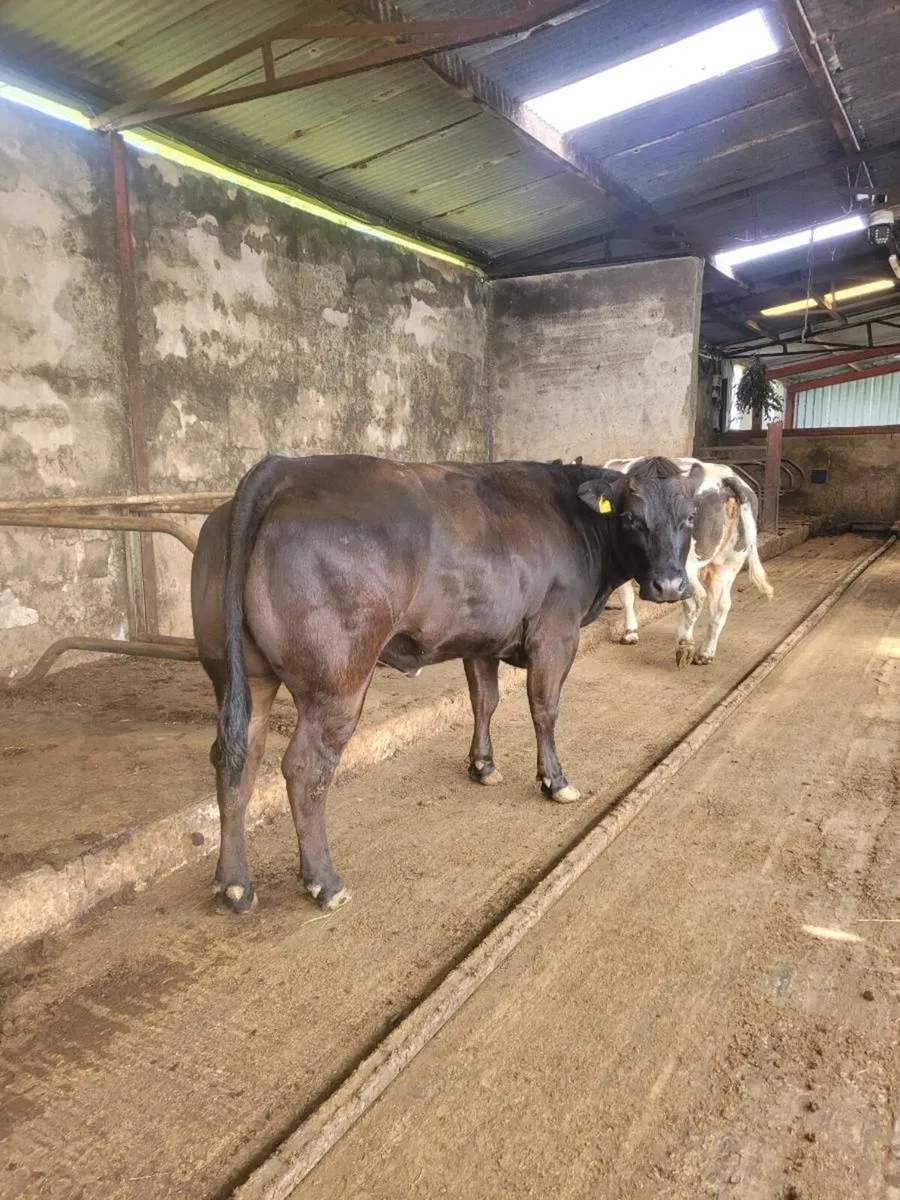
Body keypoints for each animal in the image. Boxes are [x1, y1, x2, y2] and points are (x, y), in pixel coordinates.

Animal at [191, 453, 702, 915]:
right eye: (632, 517)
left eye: (690, 517)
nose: (670, 586)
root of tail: (282, 469)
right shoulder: (555, 633)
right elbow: (544, 708)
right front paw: (554, 781)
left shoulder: (483, 637)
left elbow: (484, 700)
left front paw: (483, 766)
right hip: (336, 681)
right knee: (305, 768)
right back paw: (325, 882)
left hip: (241, 676)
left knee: (237, 757)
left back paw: (233, 887)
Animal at [604, 456, 774, 666]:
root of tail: (724, 477)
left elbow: (626, 596)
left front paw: (629, 633)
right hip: (729, 562)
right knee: (722, 603)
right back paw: (705, 653)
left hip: (687, 564)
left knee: (697, 597)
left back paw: (683, 644)